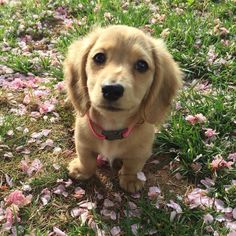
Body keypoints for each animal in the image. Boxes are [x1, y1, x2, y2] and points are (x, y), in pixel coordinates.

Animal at [63, 24, 183, 193]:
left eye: (142, 65)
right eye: (99, 57)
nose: (112, 90)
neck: (112, 126)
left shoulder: (140, 152)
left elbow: (132, 166)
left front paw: (131, 180)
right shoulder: (82, 142)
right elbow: (86, 159)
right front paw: (81, 170)